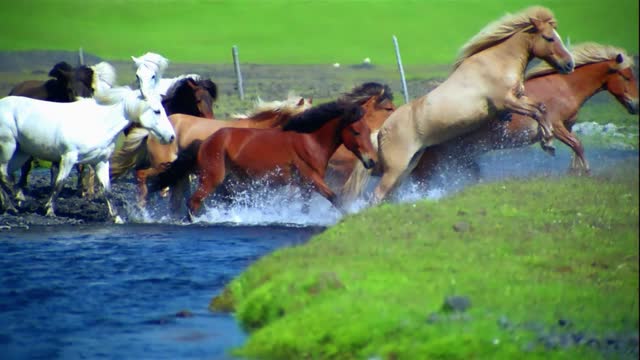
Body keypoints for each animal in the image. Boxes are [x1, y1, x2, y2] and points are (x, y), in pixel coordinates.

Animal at [0, 85, 175, 222]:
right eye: (157, 111)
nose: (171, 136)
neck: (99, 123)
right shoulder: (68, 158)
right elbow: (59, 184)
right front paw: (49, 210)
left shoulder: (101, 163)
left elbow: (107, 191)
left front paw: (117, 218)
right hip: (9, 146)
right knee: (4, 174)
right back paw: (18, 201)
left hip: (20, 153)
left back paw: (10, 205)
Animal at [149, 88, 392, 222]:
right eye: (356, 131)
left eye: (368, 131)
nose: (372, 161)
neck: (310, 141)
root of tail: (205, 142)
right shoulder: (312, 179)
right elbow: (336, 198)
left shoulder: (305, 187)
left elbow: (305, 206)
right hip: (212, 178)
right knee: (193, 202)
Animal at [350, 6, 576, 202]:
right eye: (549, 37)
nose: (569, 64)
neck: (497, 61)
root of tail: (381, 130)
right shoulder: (507, 101)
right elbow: (537, 112)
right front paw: (548, 143)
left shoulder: (518, 99)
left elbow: (541, 109)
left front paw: (548, 141)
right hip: (395, 169)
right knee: (376, 196)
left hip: (407, 167)